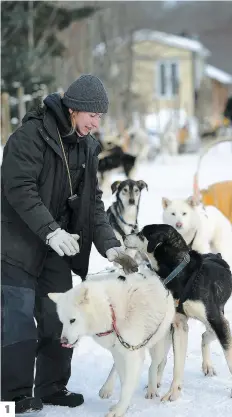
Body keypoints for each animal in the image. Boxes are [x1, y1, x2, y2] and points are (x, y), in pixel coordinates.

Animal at [49, 268, 175, 414]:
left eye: (72, 320)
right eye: (62, 321)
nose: (63, 341)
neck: (111, 310)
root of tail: (161, 282)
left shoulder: (132, 355)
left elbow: (128, 385)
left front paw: (119, 410)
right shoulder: (120, 352)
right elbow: (124, 381)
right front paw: (122, 406)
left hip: (156, 346)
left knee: (154, 365)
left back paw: (152, 388)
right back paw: (106, 388)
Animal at [125, 224, 232, 400]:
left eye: (141, 234)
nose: (124, 236)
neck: (181, 274)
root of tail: (215, 254)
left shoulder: (218, 321)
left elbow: (228, 356)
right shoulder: (179, 325)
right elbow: (177, 365)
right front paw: (173, 392)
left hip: (216, 321)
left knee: (207, 334)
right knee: (165, 359)